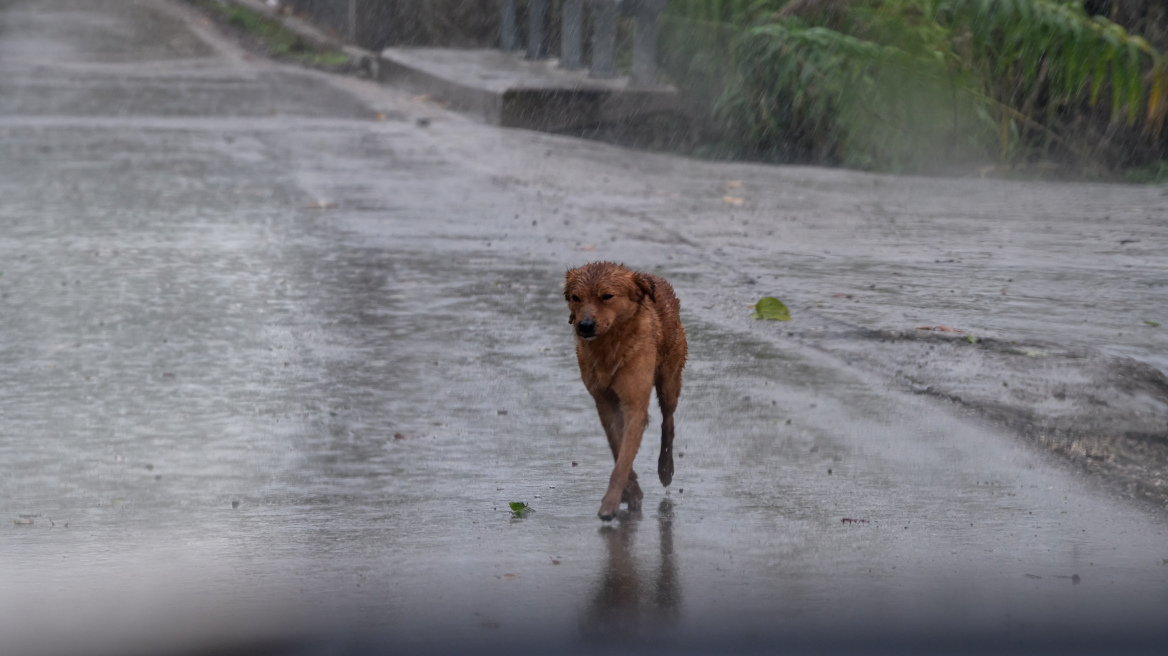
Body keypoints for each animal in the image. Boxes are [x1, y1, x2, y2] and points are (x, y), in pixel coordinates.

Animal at [562, 257, 682, 518]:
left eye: (607, 296)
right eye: (576, 297)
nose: (585, 325)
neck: (609, 347)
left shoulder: (635, 403)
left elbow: (624, 458)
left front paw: (611, 503)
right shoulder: (603, 400)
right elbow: (617, 446)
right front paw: (631, 491)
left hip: (669, 379)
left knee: (668, 421)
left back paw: (665, 468)